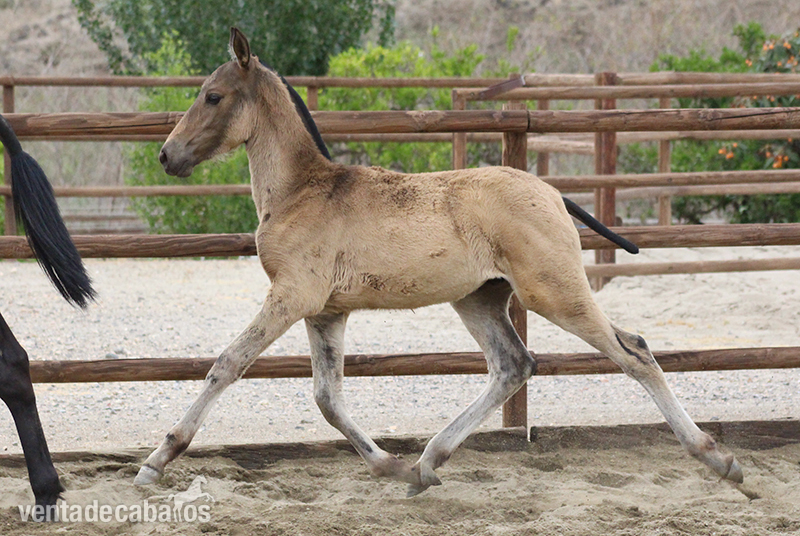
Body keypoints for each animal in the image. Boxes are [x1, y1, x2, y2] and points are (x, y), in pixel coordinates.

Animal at [135, 27, 742, 496]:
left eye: (213, 96)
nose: (167, 155)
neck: (301, 192)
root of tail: (552, 193)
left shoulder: (290, 297)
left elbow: (227, 365)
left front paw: (156, 461)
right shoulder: (326, 311)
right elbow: (328, 399)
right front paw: (392, 466)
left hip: (554, 292)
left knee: (634, 352)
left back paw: (720, 459)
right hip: (479, 299)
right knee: (514, 365)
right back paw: (427, 463)